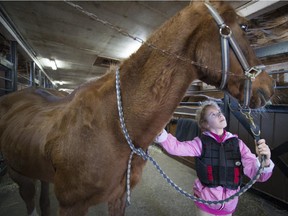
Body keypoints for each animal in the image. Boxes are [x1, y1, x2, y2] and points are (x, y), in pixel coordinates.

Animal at [0, 1, 274, 216]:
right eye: (244, 26)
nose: (270, 87)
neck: (112, 124)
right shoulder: (71, 205)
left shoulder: (119, 196)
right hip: (18, 173)